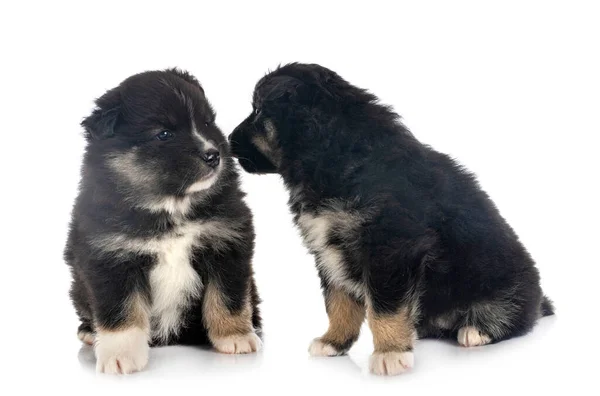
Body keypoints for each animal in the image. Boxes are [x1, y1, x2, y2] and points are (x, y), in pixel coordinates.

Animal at [65, 69, 260, 374]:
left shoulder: (228, 243)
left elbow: (227, 297)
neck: (170, 206)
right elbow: (121, 310)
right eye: (164, 134)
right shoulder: (110, 258)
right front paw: (120, 355)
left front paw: (235, 336)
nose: (213, 155)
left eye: (207, 123)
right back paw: (89, 332)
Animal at [229, 63, 552, 376]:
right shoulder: (329, 250)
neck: (334, 155)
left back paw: (476, 330)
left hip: (505, 286)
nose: (229, 141)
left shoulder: (391, 247)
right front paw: (334, 341)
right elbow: (338, 302)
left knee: (516, 316)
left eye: (258, 112)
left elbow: (385, 309)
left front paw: (390, 353)